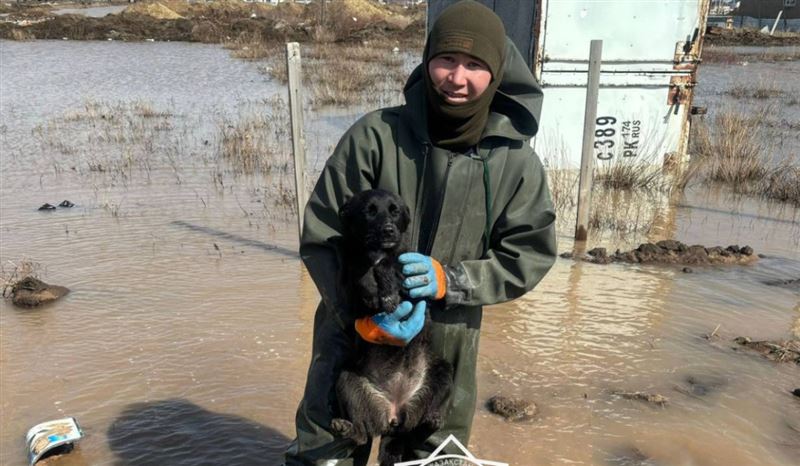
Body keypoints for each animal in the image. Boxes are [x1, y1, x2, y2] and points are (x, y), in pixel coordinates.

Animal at [332, 189, 456, 466]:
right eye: (369, 211)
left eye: (394, 210)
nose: (389, 230)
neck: (377, 249)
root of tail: (395, 415)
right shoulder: (350, 272)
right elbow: (362, 270)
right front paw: (373, 292)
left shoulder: (408, 267)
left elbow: (389, 264)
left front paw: (387, 292)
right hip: (346, 380)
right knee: (362, 436)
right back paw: (345, 427)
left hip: (443, 372)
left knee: (421, 428)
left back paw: (433, 419)